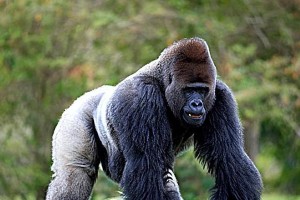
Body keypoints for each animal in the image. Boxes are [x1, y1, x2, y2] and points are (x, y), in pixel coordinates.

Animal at [46, 38, 262, 200]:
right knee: (75, 175)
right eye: (189, 90)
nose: (197, 104)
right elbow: (146, 164)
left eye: (202, 90)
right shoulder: (141, 98)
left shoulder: (221, 96)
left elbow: (229, 156)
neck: (162, 82)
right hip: (75, 114)